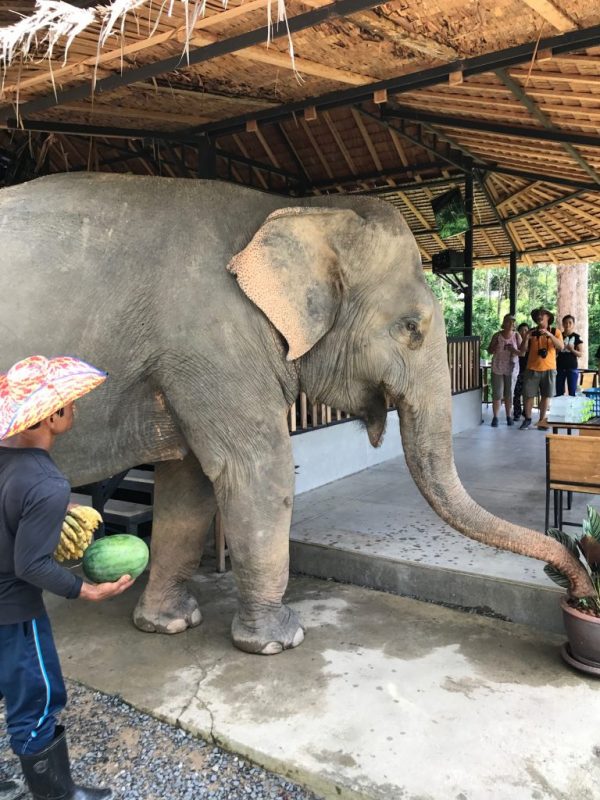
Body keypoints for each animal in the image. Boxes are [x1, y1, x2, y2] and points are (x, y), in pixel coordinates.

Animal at [0, 173, 592, 654]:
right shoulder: (215, 342)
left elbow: (190, 484)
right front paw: (279, 642)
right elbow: (258, 471)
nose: (575, 580)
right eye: (411, 328)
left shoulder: (188, 362)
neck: (296, 208)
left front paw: (169, 625)